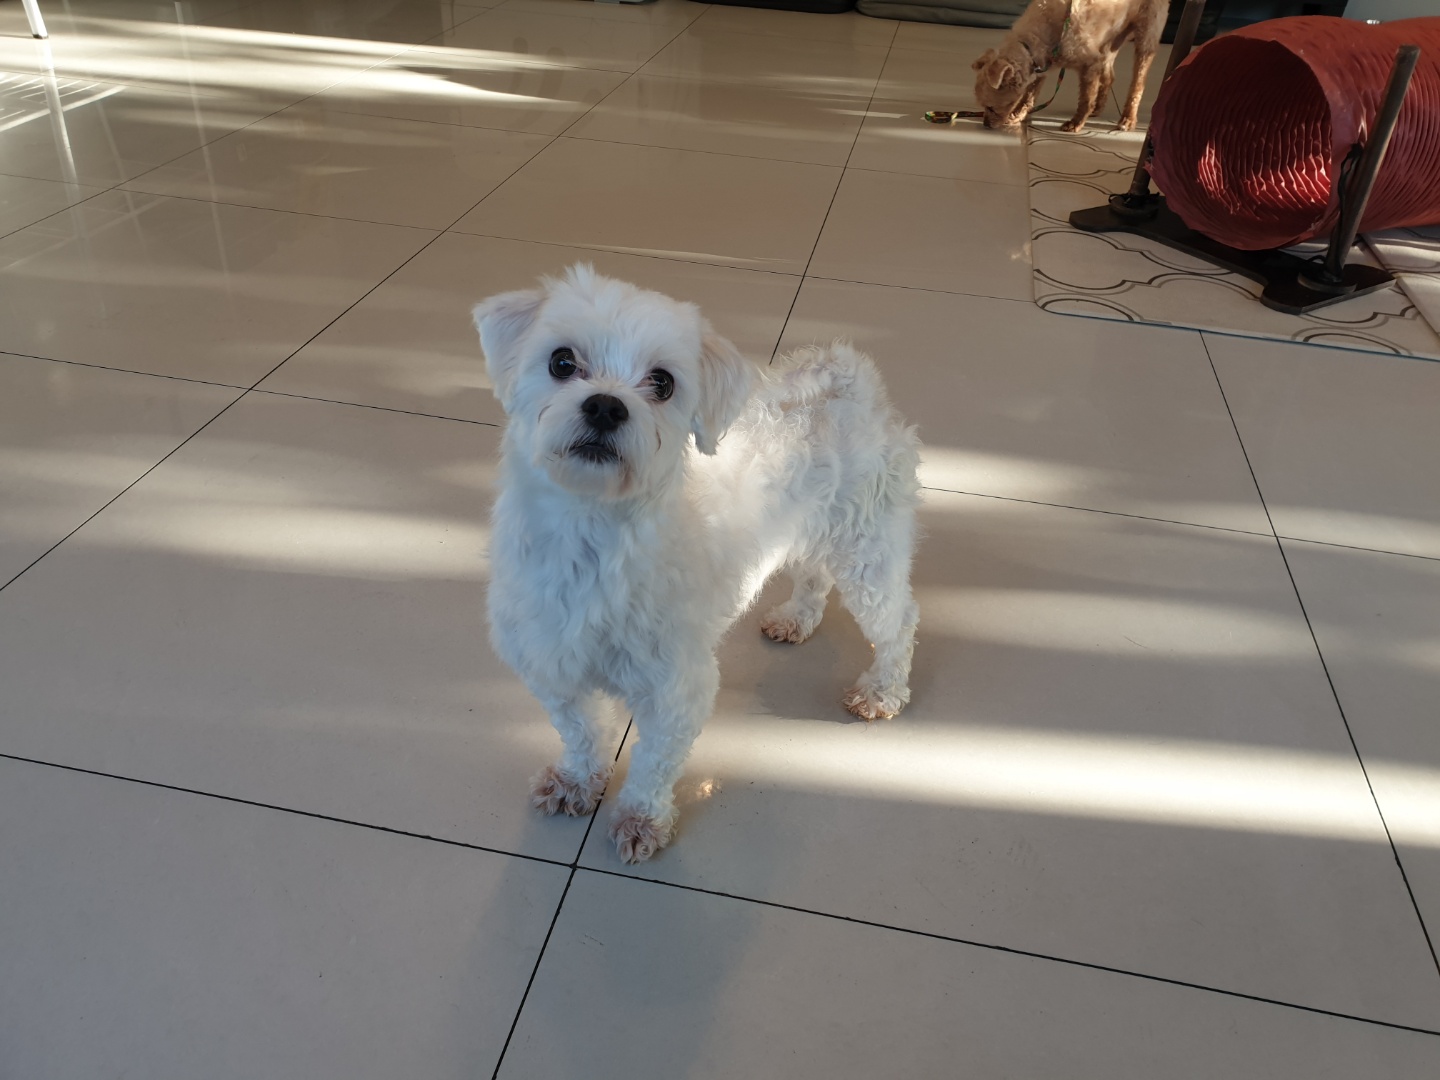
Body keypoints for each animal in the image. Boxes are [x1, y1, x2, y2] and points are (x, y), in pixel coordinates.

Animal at [474, 266, 921, 864]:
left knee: (897, 622)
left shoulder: (677, 687)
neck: (592, 534)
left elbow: (653, 763)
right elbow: (582, 731)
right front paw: (577, 780)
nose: (605, 406)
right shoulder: (550, 662)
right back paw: (796, 618)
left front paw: (641, 818)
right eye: (561, 362)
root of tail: (846, 375)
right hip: (812, 528)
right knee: (813, 576)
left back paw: (882, 689)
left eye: (662, 383)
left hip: (867, 551)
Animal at [972, 0, 1168, 133]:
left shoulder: (1090, 63)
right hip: (1110, 41)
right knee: (1109, 77)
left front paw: (1076, 123)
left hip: (1146, 37)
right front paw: (1016, 116)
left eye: (991, 107)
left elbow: (1085, 99)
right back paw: (1098, 108)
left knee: (1138, 84)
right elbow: (1028, 98)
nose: (986, 124)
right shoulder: (1041, 67)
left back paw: (1128, 119)